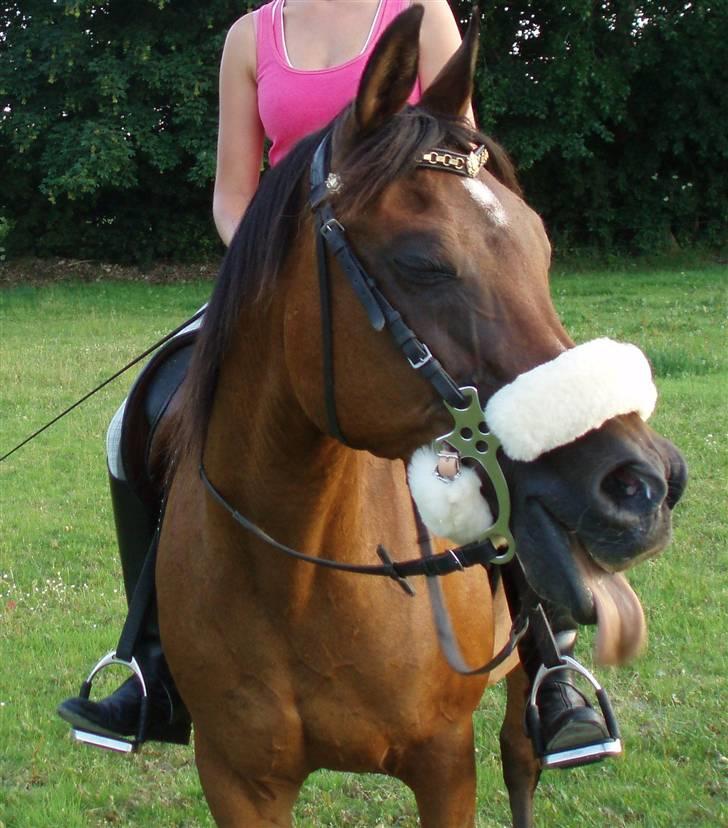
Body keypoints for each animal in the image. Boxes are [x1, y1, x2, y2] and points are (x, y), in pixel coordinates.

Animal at [154, 8, 686, 826]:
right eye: (423, 262)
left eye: (540, 248)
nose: (643, 486)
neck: (295, 575)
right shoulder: (236, 779)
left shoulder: (443, 762)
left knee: (522, 754)